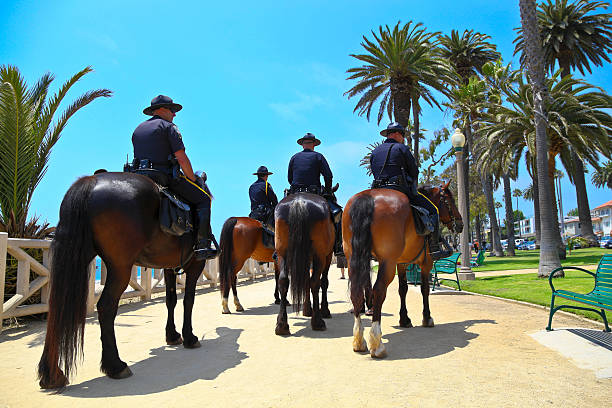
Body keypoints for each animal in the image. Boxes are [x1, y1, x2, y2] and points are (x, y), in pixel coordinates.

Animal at [39, 172, 210, 388]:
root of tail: (90, 182)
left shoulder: (169, 267)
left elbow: (170, 300)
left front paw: (172, 335)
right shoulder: (196, 265)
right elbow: (189, 300)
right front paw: (189, 337)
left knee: (57, 306)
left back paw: (52, 374)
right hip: (120, 268)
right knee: (106, 307)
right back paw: (115, 365)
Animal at [274, 193, 334, 336]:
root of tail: (299, 201)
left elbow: (305, 280)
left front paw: (307, 309)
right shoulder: (327, 256)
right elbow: (323, 282)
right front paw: (324, 310)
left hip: (282, 254)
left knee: (283, 281)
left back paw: (282, 324)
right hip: (320, 256)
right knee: (315, 282)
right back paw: (318, 321)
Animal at [342, 183, 462, 358]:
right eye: (450, 200)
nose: (460, 223)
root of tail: (367, 197)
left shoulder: (402, 263)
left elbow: (403, 289)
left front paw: (404, 319)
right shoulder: (426, 263)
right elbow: (425, 290)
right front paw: (427, 318)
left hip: (353, 258)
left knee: (356, 293)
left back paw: (359, 340)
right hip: (387, 262)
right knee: (379, 291)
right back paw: (376, 343)